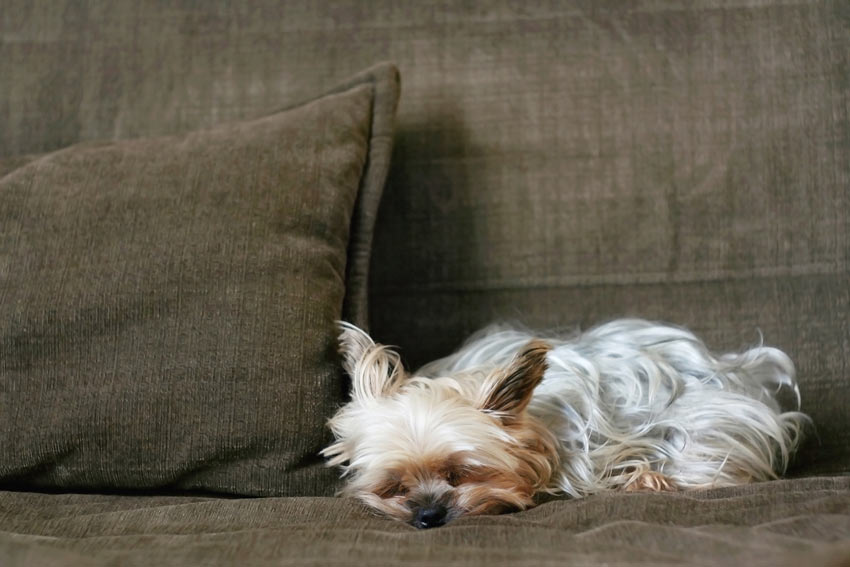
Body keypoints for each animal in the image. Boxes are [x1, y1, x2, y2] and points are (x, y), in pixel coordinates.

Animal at [320, 320, 808, 528]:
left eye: (461, 474)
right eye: (394, 487)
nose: (427, 516)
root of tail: (743, 374)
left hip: (703, 424)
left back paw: (650, 478)